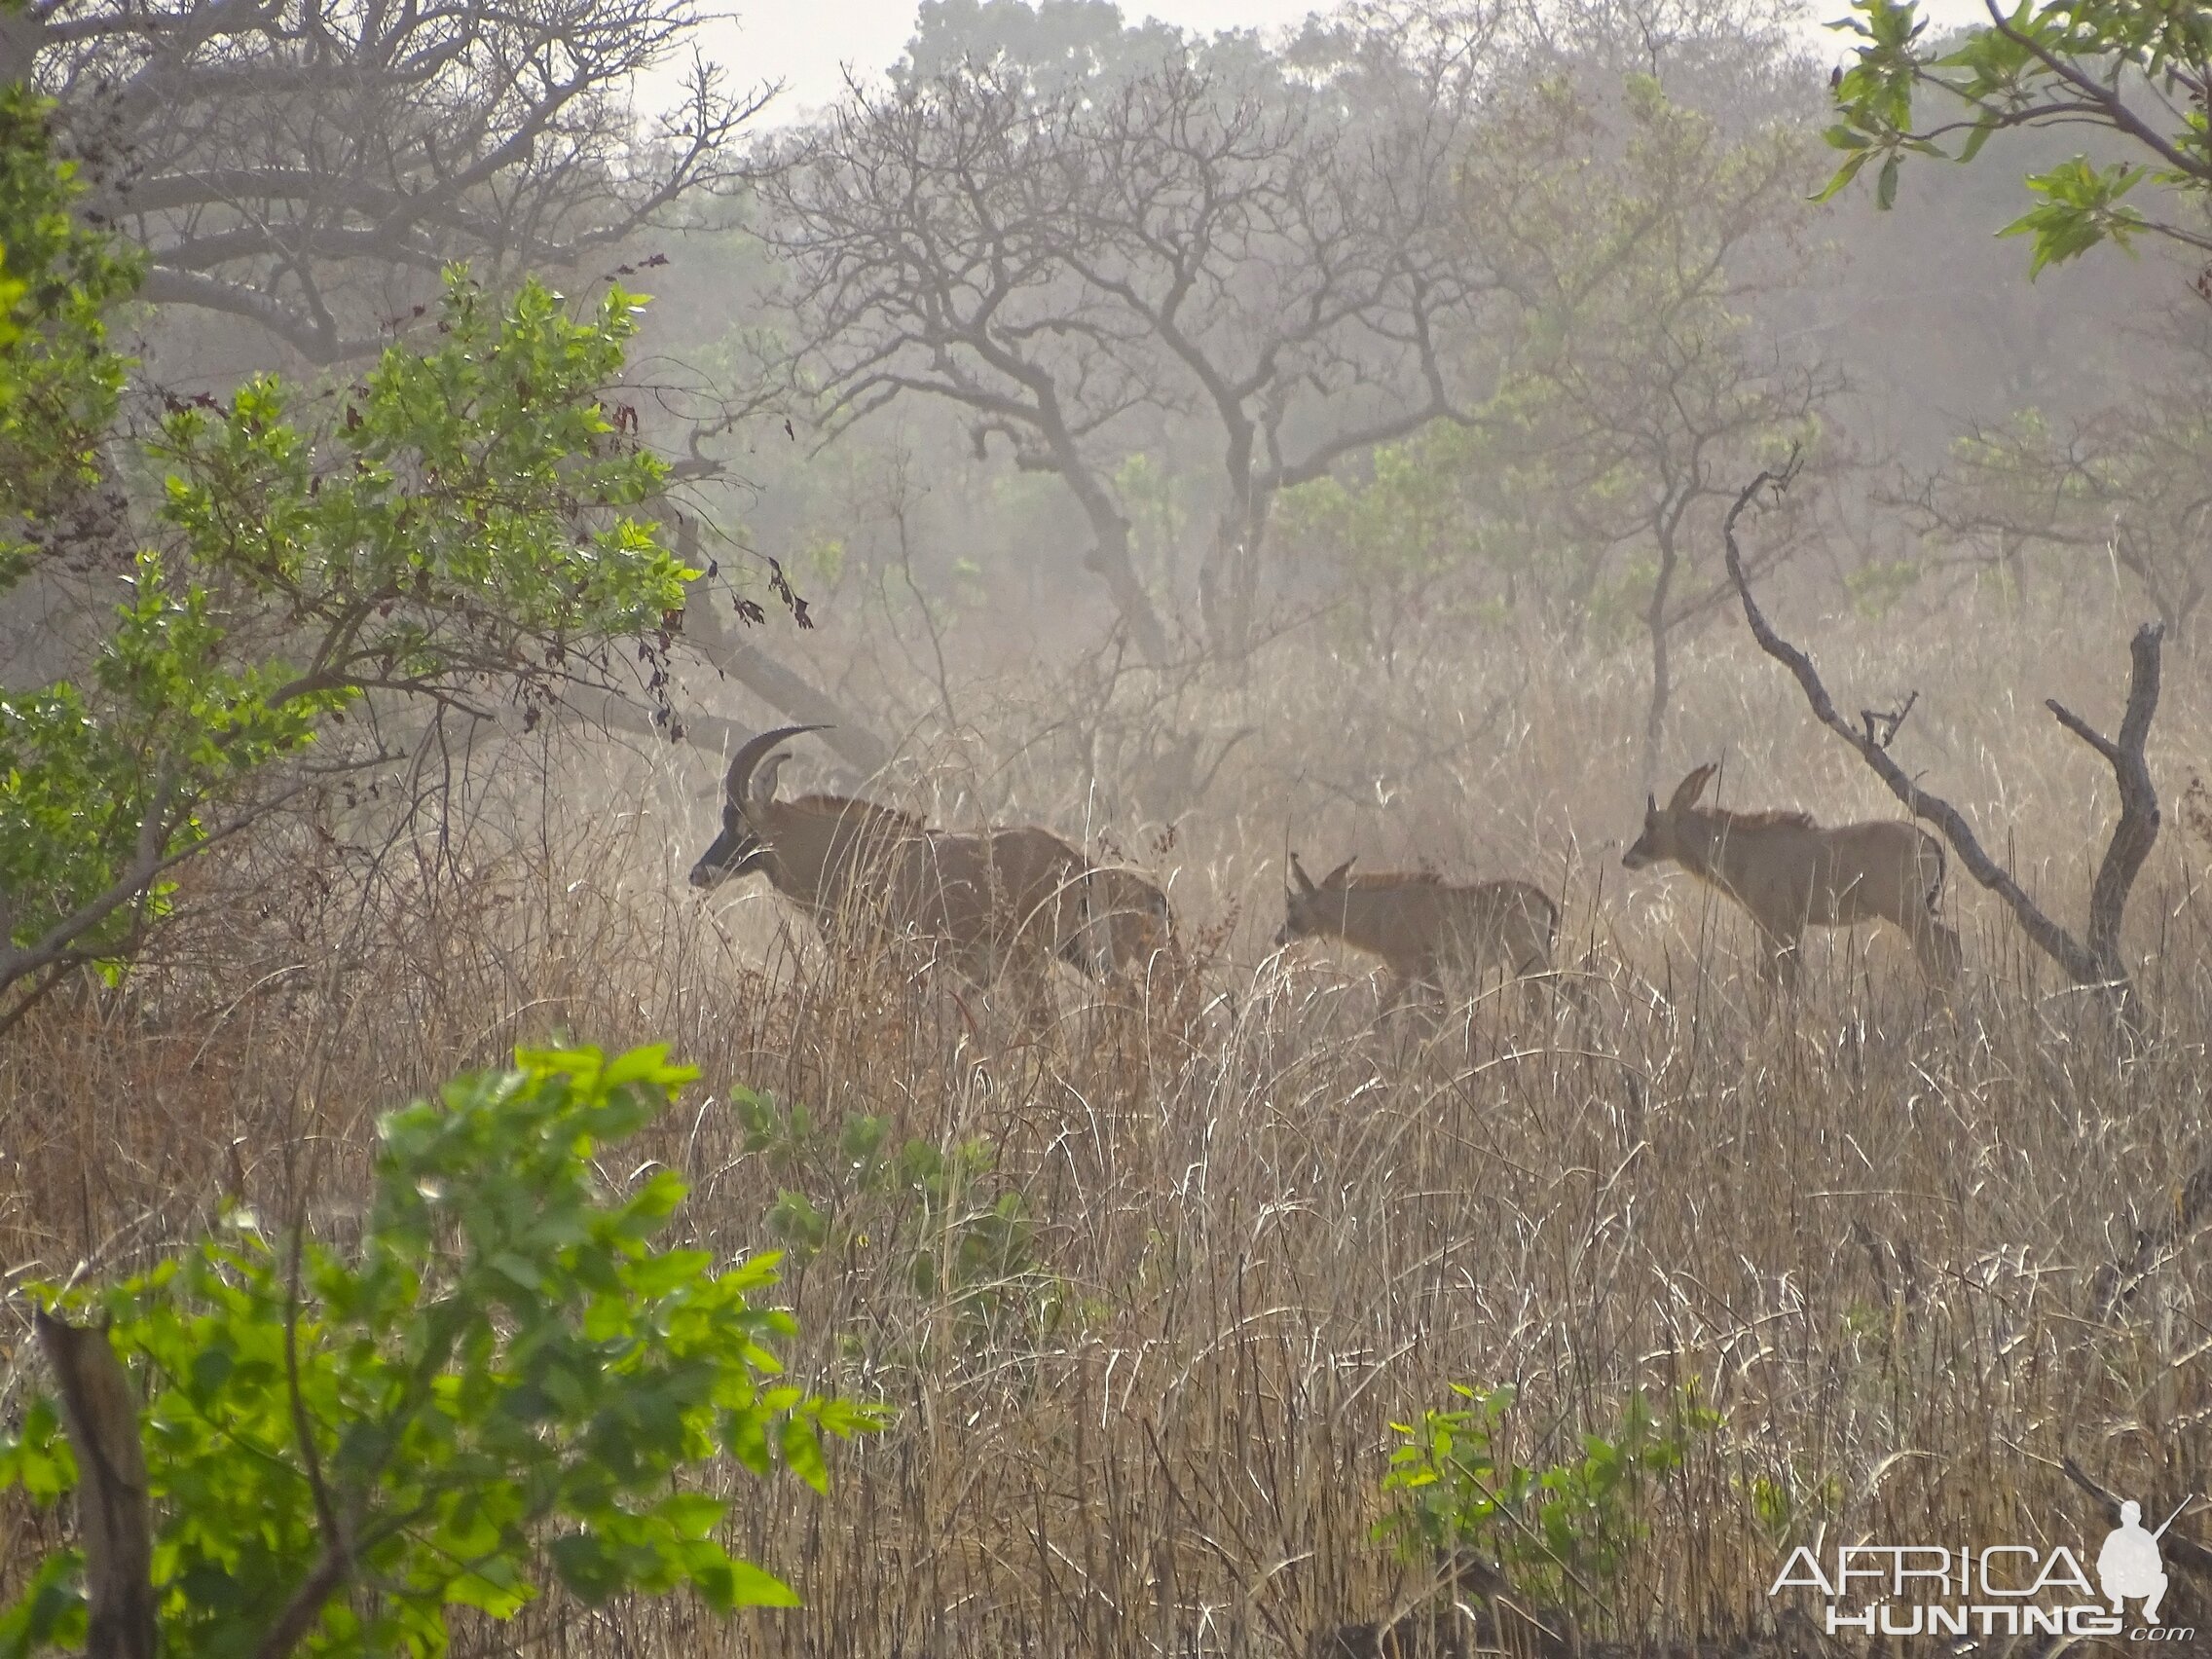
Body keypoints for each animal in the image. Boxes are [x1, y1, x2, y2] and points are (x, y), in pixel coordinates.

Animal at [1273, 858, 1566, 1013]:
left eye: (1292, 905)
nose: (1279, 937)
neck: (1382, 909)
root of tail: (1541, 898)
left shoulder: (1406, 970)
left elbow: (1386, 1016)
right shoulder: (1424, 973)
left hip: (1530, 960)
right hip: (1527, 966)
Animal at [1619, 765, 1964, 986]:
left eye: (1651, 824)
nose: (1628, 858)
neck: (1743, 850)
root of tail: (1930, 842)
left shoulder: (1779, 922)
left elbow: (1778, 977)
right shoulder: (1783, 925)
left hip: (1906, 910)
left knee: (1942, 948)